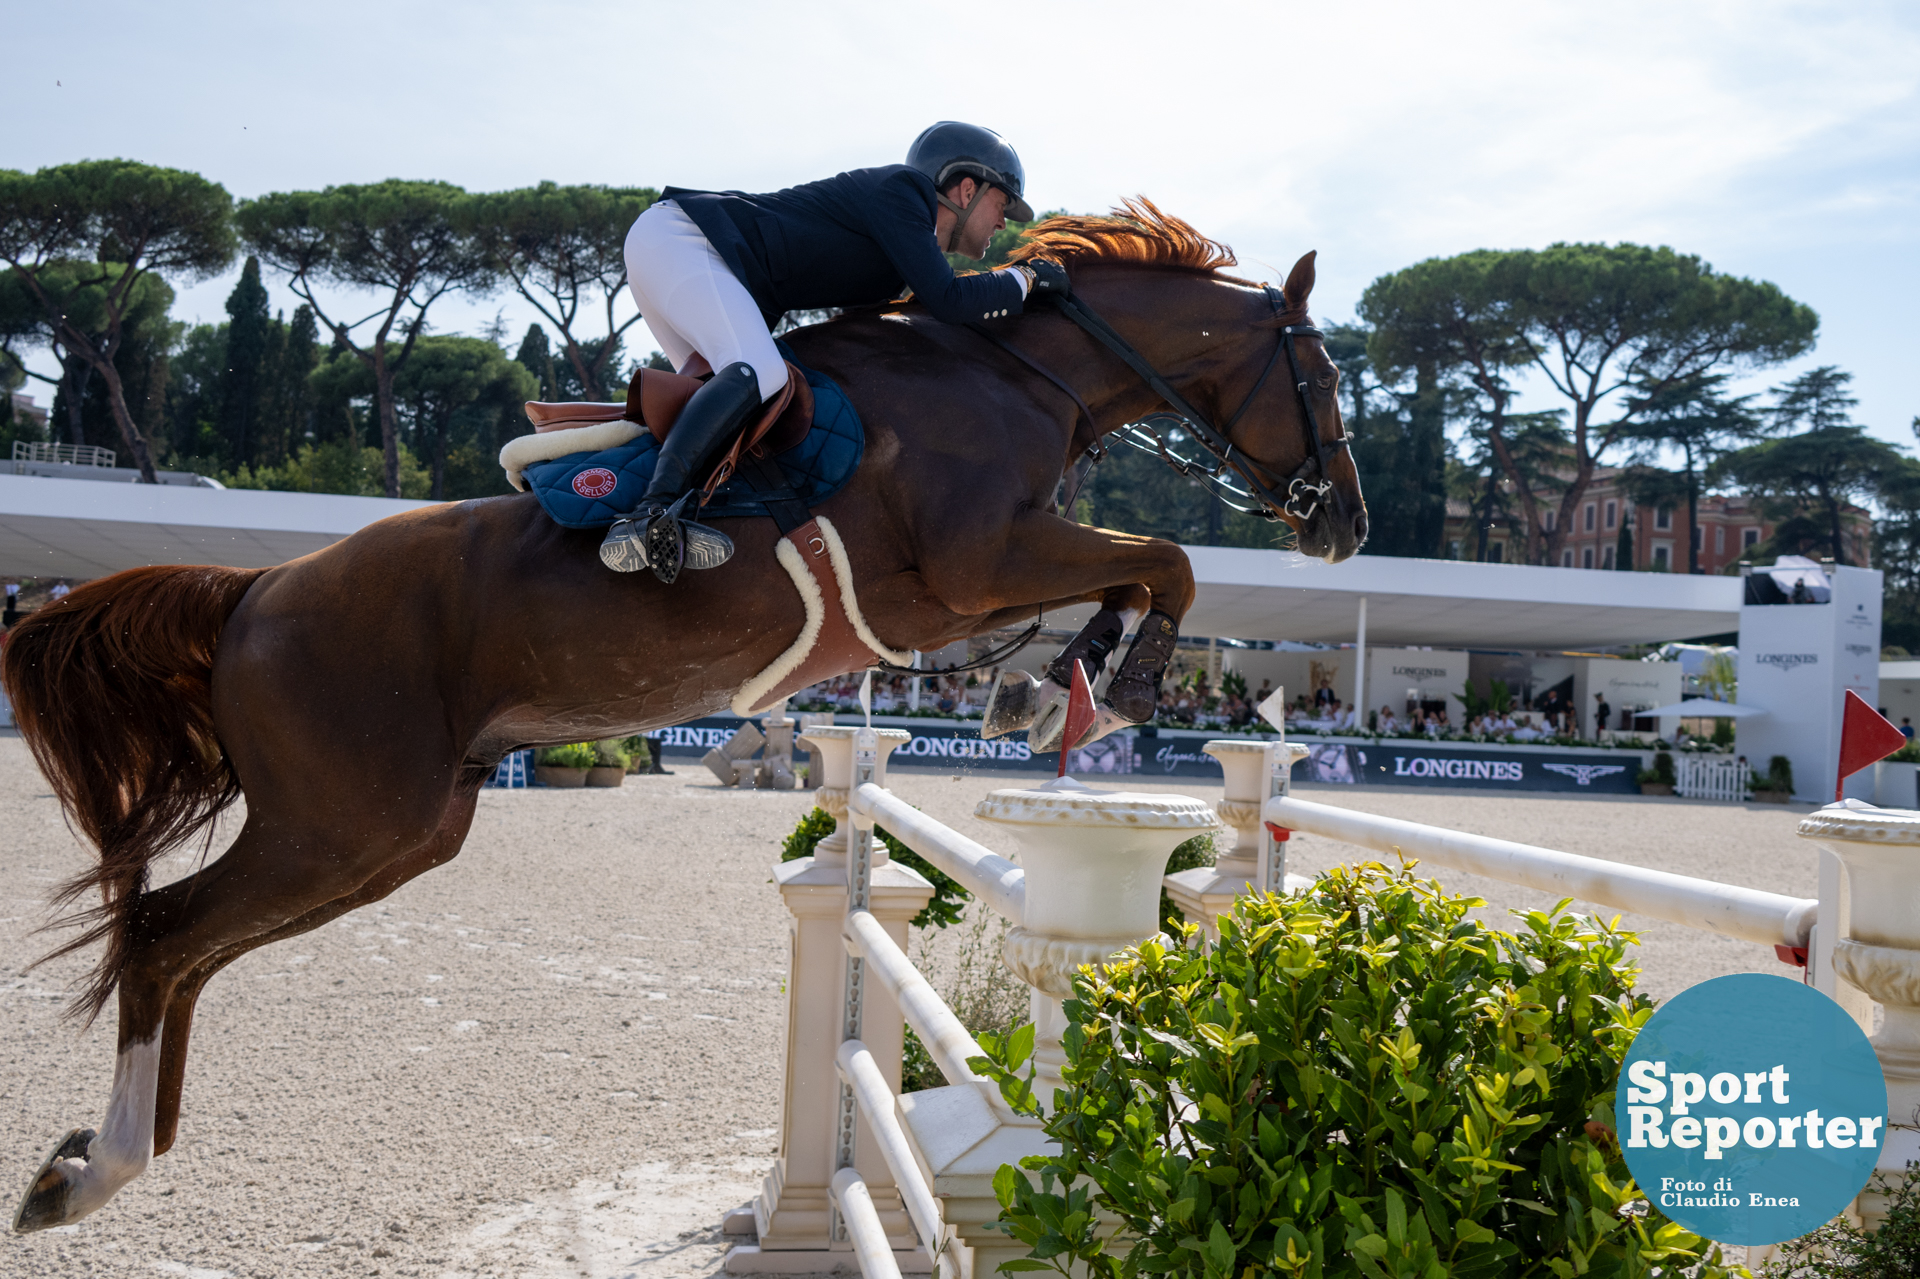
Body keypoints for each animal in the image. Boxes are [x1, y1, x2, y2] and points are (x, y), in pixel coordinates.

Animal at [3, 204, 1367, 1229]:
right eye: (1324, 375)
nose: (1345, 523)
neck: (1007, 371)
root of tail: (255, 590)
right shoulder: (976, 561)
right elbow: (1166, 561)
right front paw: (1110, 690)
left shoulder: (979, 579)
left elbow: (1133, 575)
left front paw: (1043, 693)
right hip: (343, 821)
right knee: (167, 933)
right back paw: (95, 1170)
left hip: (394, 833)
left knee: (188, 948)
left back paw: (103, 1157)